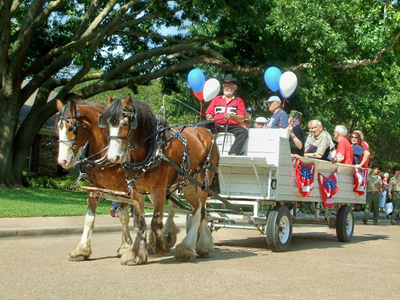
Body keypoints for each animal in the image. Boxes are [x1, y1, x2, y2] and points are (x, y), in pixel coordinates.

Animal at [55, 99, 166, 264]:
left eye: (71, 128)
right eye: (57, 128)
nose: (62, 161)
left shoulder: (124, 188)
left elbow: (124, 217)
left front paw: (126, 246)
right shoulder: (93, 187)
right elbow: (89, 218)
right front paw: (81, 250)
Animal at [100, 95, 219, 262]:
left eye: (125, 123)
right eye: (107, 125)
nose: (112, 157)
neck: (152, 150)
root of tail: (206, 132)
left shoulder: (160, 189)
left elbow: (156, 221)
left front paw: (161, 246)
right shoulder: (136, 190)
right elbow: (139, 222)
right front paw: (136, 254)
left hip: (203, 182)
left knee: (199, 212)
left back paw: (187, 247)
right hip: (189, 184)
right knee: (199, 210)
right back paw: (202, 246)